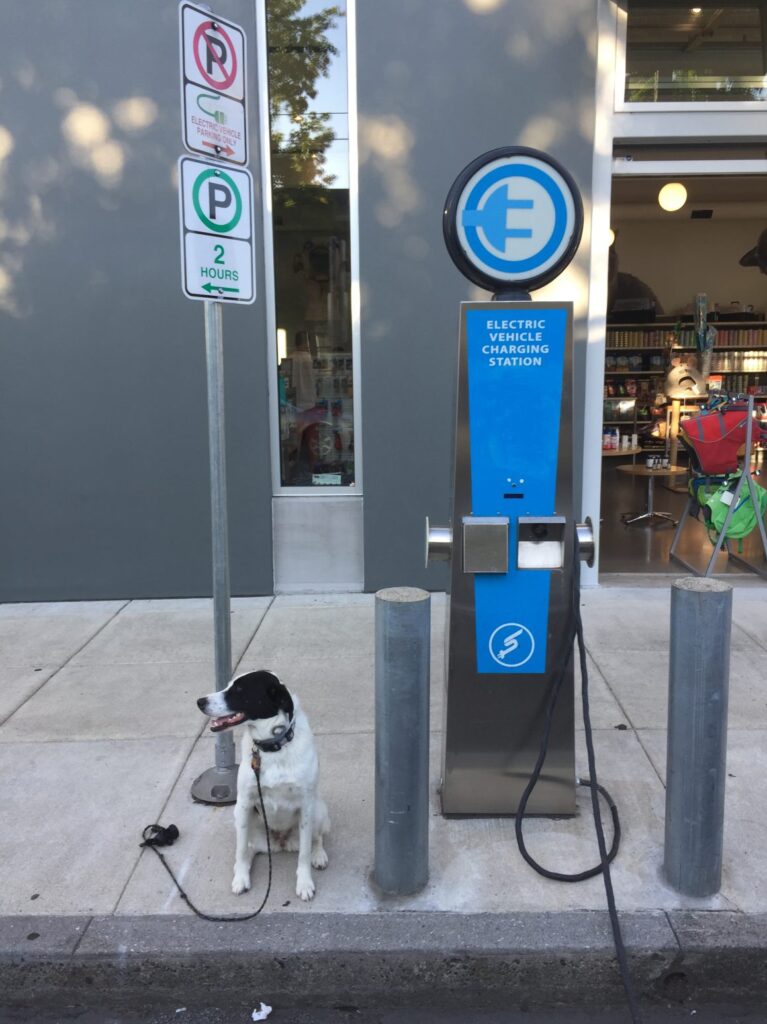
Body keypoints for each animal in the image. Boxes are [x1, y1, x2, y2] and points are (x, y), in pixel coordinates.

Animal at [195, 675, 327, 901]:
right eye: (228, 685)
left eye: (239, 690)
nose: (200, 702)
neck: (272, 747)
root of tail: (280, 843)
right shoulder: (244, 804)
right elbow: (240, 850)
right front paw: (241, 878)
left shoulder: (306, 806)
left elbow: (304, 853)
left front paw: (304, 883)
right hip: (239, 817)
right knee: (247, 849)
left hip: (318, 810)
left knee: (316, 839)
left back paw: (318, 855)